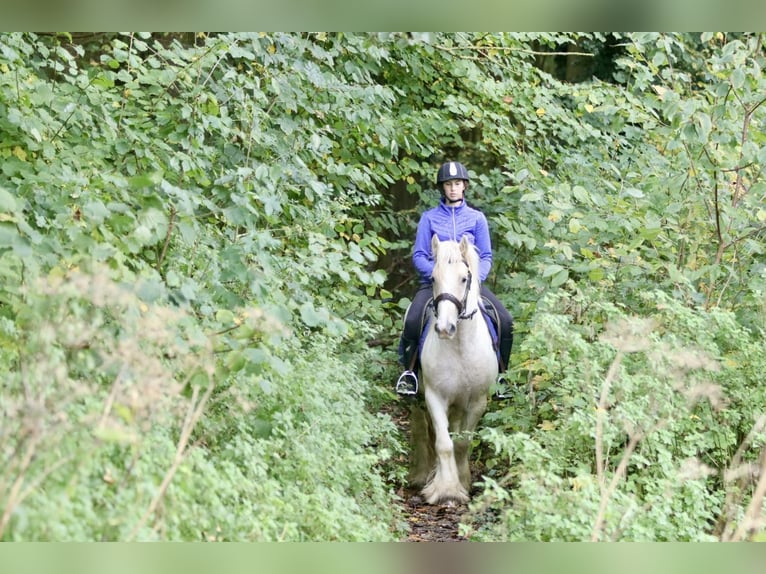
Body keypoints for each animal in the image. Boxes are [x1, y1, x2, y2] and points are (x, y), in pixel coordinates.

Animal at [408, 236, 498, 506]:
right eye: (433, 278)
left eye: (464, 279)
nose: (445, 328)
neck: (459, 347)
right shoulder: (434, 396)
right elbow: (444, 443)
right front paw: (445, 490)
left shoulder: (477, 401)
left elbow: (461, 442)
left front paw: (462, 483)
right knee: (424, 429)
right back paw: (423, 474)